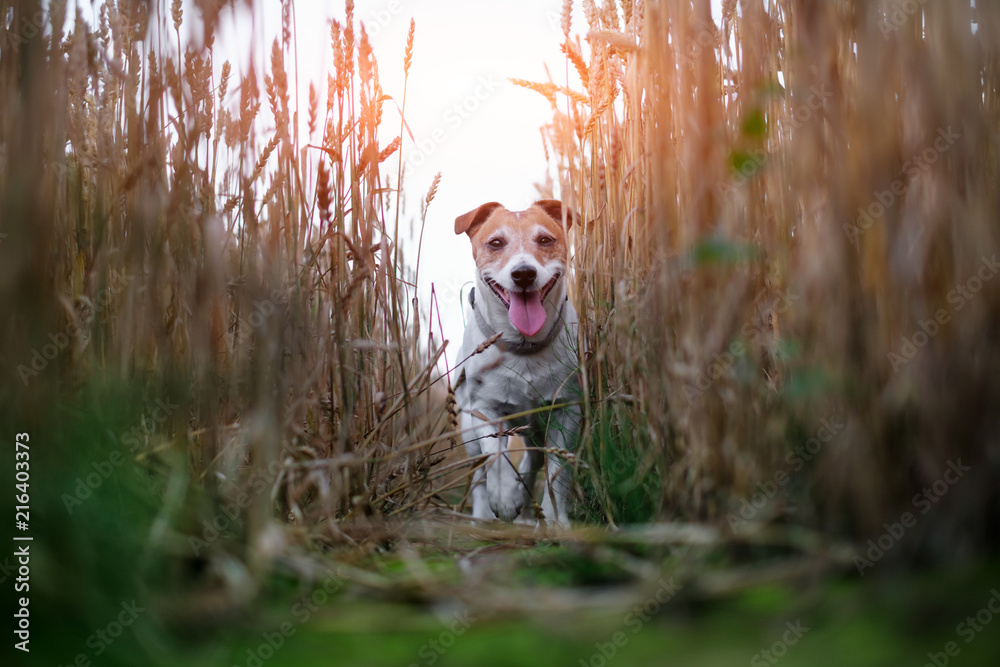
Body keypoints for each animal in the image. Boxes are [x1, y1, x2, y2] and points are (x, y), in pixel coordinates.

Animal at [452, 200, 584, 528]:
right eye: (496, 243)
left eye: (545, 240)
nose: (523, 273)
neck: (523, 347)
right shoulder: (484, 408)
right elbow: (495, 456)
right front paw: (504, 498)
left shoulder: (566, 410)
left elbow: (557, 471)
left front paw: (556, 519)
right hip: (468, 431)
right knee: (479, 475)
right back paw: (484, 514)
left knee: (532, 462)